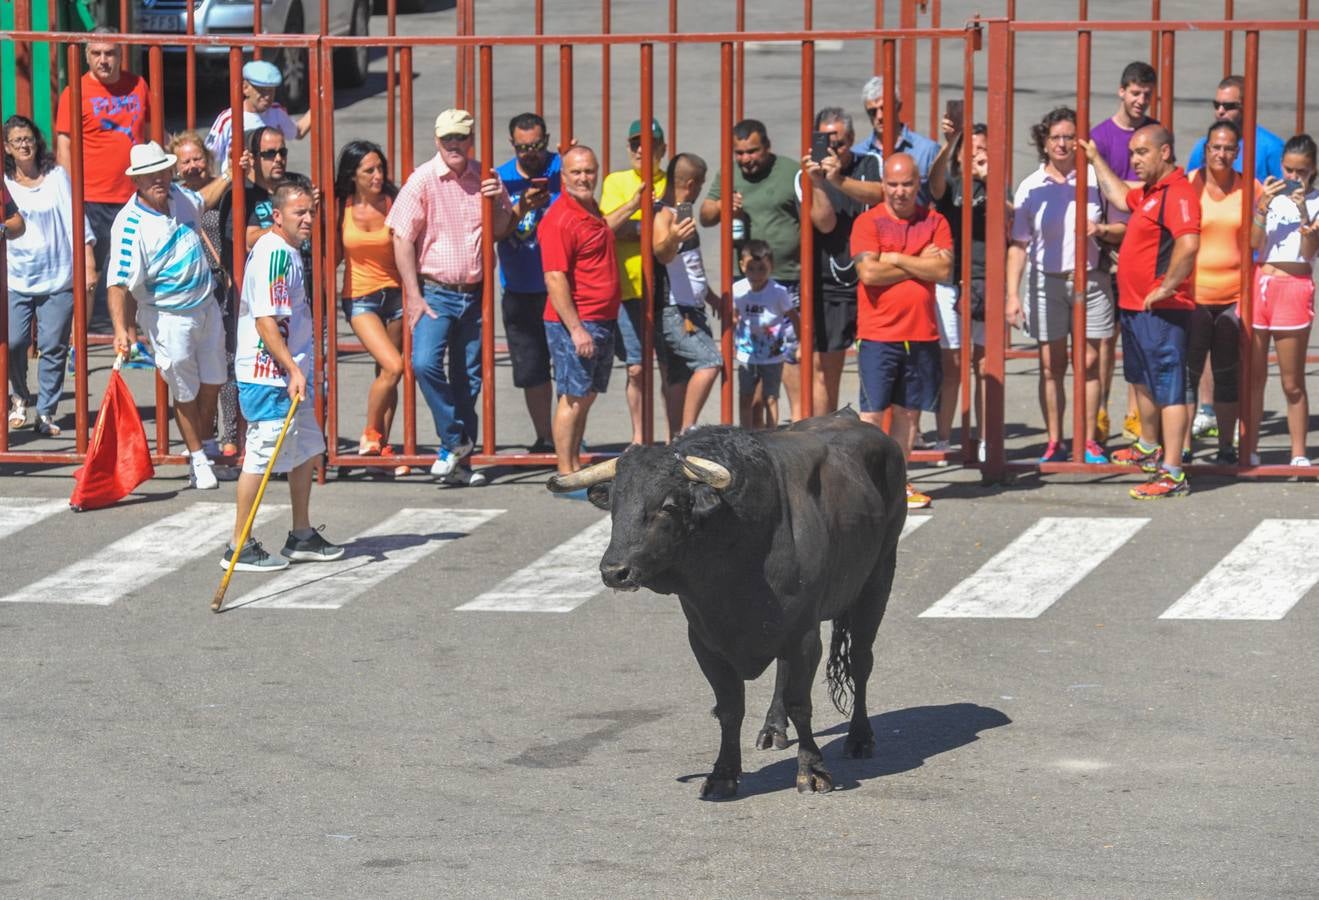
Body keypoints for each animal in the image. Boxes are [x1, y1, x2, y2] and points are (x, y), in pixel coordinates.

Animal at [546, 409, 907, 797]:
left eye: (668, 506)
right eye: (614, 505)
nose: (615, 572)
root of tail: (850, 416)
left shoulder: (804, 635)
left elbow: (800, 703)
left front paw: (812, 771)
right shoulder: (706, 642)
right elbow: (730, 708)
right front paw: (723, 774)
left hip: (877, 580)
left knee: (861, 660)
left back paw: (860, 737)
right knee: (784, 673)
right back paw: (772, 729)